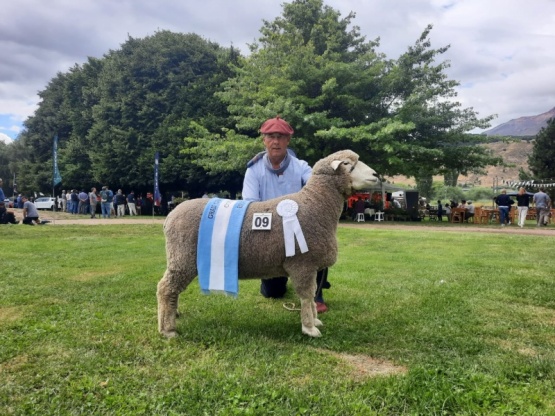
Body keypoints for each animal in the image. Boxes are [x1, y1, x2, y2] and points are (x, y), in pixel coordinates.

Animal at [159, 150, 380, 338]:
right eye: (347, 164)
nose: (376, 175)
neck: (316, 203)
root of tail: (170, 216)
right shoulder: (303, 263)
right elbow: (306, 296)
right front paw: (309, 327)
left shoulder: (309, 266)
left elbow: (311, 296)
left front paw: (315, 320)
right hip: (183, 258)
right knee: (165, 288)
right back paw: (167, 329)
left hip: (179, 258)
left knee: (170, 288)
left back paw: (172, 314)